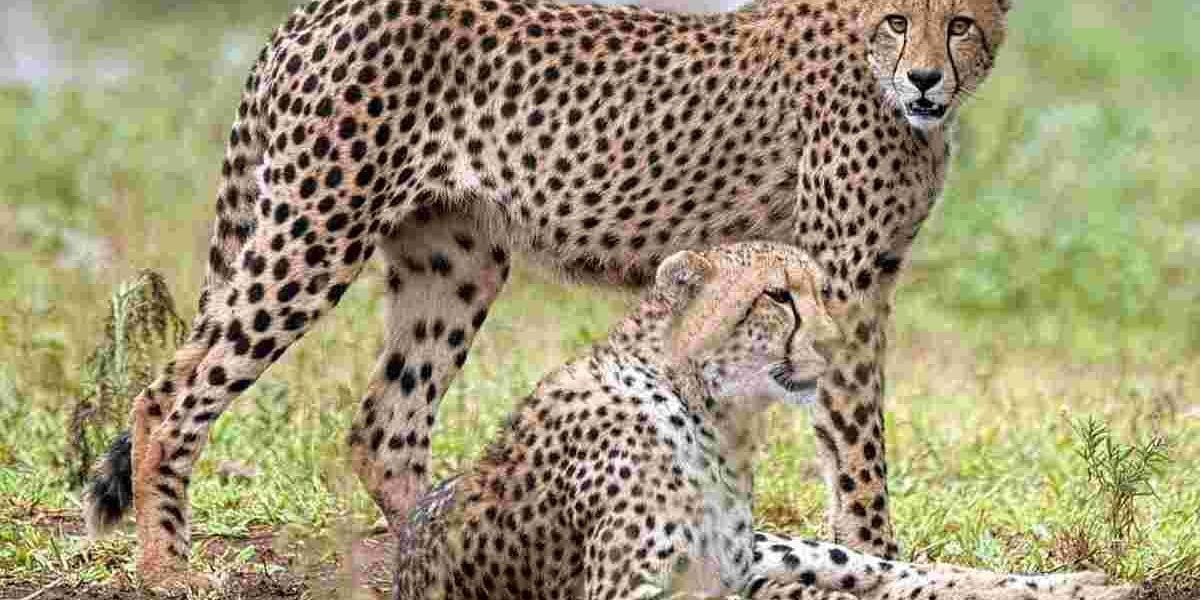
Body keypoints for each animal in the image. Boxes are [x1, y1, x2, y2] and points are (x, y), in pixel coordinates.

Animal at [83, 0, 1015, 588]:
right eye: (900, 20)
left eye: (960, 23)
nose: (926, 80)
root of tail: (313, 13)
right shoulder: (845, 277)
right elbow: (857, 446)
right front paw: (877, 545)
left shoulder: (859, 278)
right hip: (317, 230)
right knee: (170, 395)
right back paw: (168, 570)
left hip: (456, 260)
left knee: (388, 426)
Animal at [391, 242, 1134, 600]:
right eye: (777, 296)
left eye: (820, 291)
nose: (835, 343)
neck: (708, 410)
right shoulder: (637, 589)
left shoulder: (732, 568)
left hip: (785, 548)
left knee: (894, 571)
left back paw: (1079, 585)